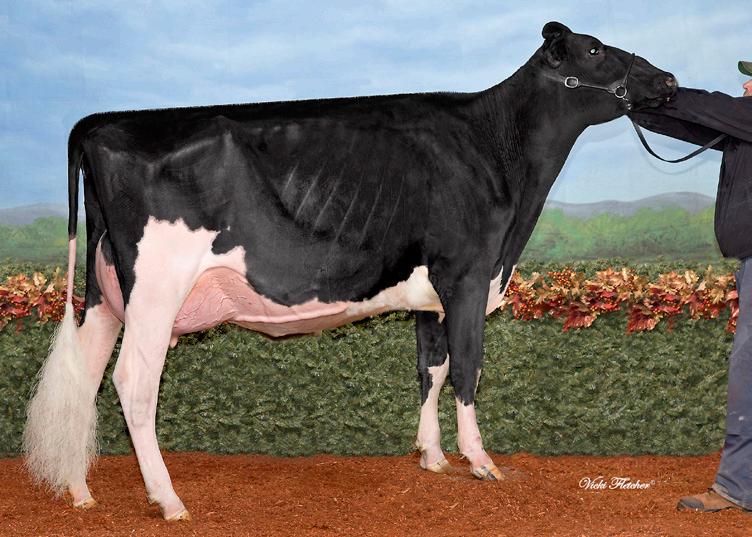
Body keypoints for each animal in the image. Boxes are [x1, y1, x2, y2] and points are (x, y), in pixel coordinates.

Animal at [23, 22, 676, 521]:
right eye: (596, 49)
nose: (668, 81)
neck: (494, 150)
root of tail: (101, 123)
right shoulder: (466, 275)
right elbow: (467, 369)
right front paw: (481, 462)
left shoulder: (430, 295)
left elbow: (431, 369)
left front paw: (432, 457)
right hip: (156, 288)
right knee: (133, 382)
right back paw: (168, 500)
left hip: (105, 294)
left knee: (84, 377)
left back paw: (79, 491)